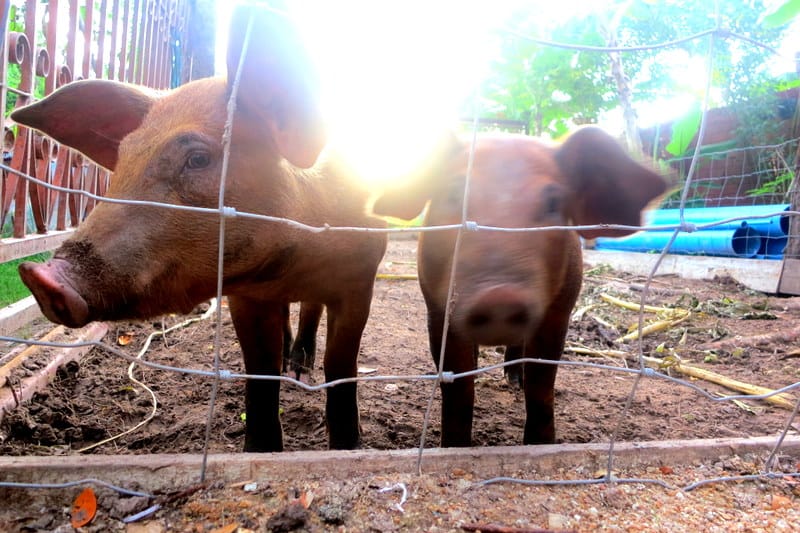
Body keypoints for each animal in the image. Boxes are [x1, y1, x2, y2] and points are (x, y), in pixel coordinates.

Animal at [11, 5, 387, 452]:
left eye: (198, 159)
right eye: (123, 159)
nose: (40, 276)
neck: (291, 263)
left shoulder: (360, 278)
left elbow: (341, 369)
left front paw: (348, 445)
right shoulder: (245, 296)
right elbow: (259, 376)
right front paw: (260, 450)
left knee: (310, 312)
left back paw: (298, 370)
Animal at [372, 128, 667, 447]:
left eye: (554, 203)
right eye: (452, 195)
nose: (498, 296)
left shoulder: (559, 313)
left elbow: (541, 383)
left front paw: (540, 444)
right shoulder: (437, 310)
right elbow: (458, 386)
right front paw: (453, 446)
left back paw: (514, 381)